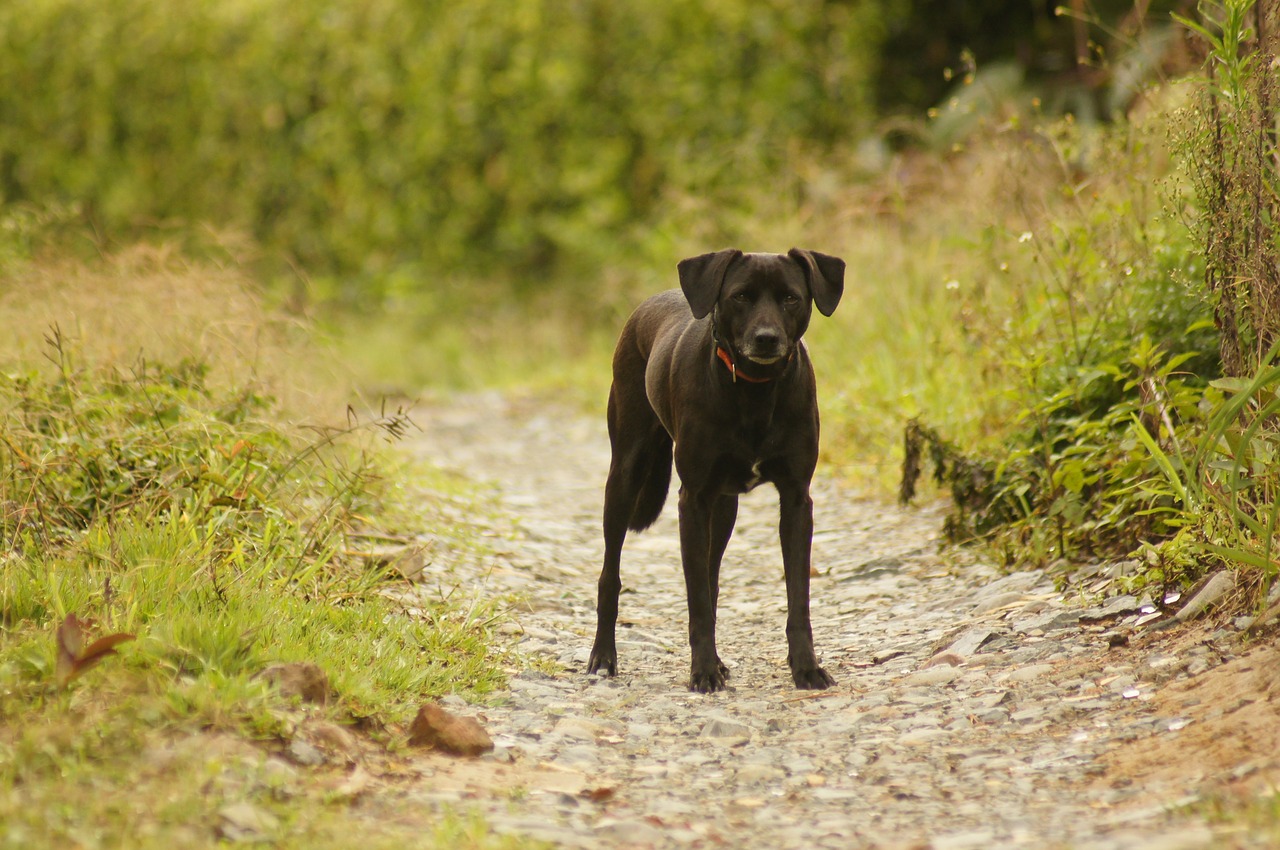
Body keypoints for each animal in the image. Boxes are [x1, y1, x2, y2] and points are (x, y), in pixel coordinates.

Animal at [586, 245, 844, 691]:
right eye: (740, 296)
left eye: (791, 298)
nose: (766, 338)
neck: (755, 390)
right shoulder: (691, 499)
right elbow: (698, 602)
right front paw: (704, 671)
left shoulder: (796, 499)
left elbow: (797, 597)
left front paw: (806, 667)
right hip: (625, 475)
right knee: (611, 576)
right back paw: (603, 657)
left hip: (724, 506)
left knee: (710, 577)